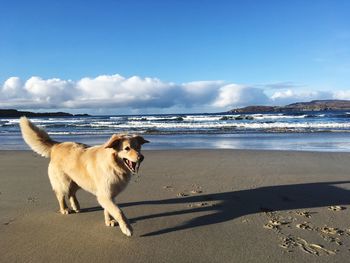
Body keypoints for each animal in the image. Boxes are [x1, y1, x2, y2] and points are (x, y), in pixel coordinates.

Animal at [18, 117, 149, 237]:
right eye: (127, 148)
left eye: (138, 147)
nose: (141, 157)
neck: (113, 164)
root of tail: (57, 145)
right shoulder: (104, 195)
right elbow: (118, 211)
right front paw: (127, 228)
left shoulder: (109, 195)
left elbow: (108, 209)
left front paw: (109, 221)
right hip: (63, 182)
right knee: (61, 195)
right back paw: (64, 209)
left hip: (78, 181)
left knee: (71, 193)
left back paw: (76, 205)